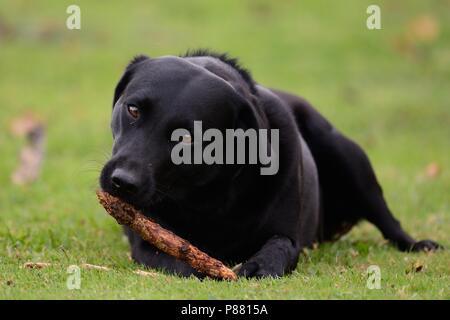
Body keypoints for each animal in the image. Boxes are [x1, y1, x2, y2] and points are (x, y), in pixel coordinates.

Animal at [100, 49, 442, 278]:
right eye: (132, 110)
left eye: (187, 138)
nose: (122, 182)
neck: (206, 198)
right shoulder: (147, 241)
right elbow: (177, 258)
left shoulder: (288, 234)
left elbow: (281, 245)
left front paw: (261, 265)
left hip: (349, 158)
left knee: (389, 222)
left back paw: (419, 245)